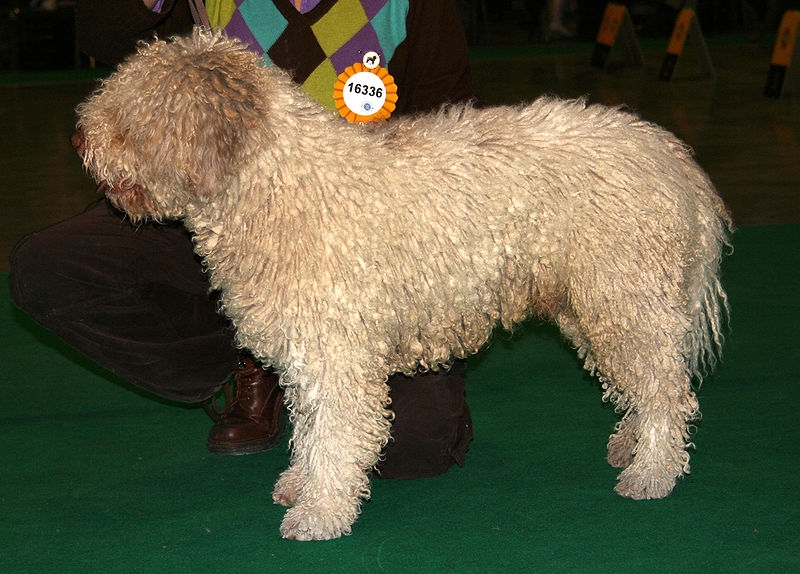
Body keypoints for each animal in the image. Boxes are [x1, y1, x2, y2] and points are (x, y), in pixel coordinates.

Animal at [75, 29, 732, 544]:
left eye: (128, 117)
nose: (81, 138)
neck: (277, 185)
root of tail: (674, 158)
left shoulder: (335, 350)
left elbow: (335, 433)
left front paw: (320, 511)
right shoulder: (308, 348)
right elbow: (309, 429)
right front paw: (299, 484)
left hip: (624, 293)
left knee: (666, 390)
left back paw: (652, 471)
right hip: (594, 303)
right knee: (645, 382)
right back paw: (632, 444)